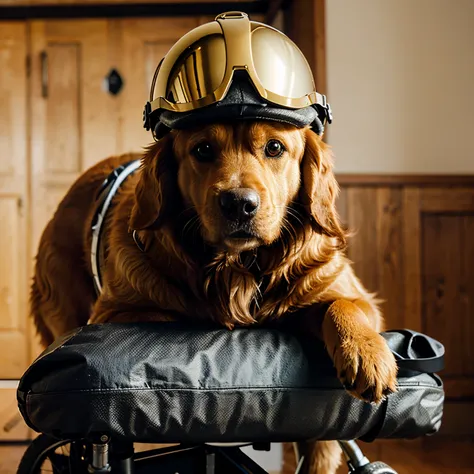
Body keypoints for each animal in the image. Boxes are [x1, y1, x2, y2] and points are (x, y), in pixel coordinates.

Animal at [31, 123, 398, 474]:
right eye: (203, 149)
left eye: (274, 147)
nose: (239, 204)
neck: (236, 268)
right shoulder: (112, 313)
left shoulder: (344, 289)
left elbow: (342, 304)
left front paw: (366, 354)